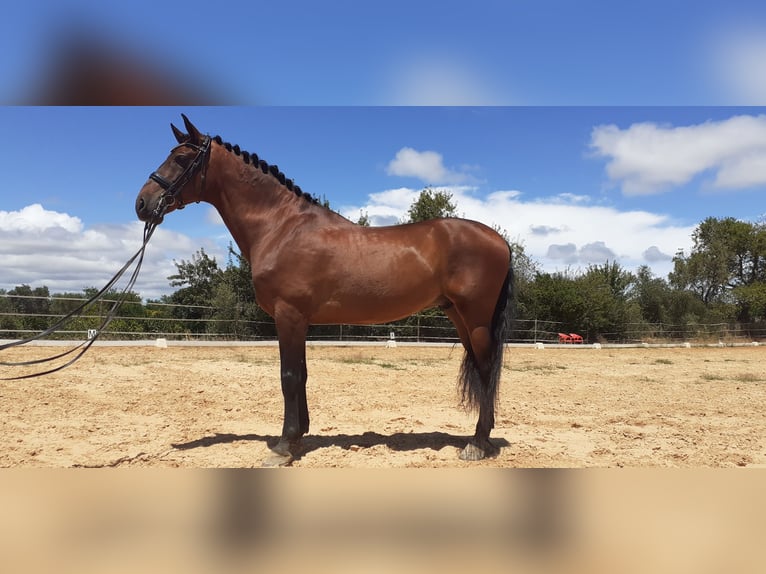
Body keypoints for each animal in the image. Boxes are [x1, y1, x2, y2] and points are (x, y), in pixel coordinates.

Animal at [138, 113, 516, 468]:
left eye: (181, 159)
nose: (142, 204)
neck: (281, 227)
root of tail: (498, 240)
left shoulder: (289, 315)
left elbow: (289, 377)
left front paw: (283, 446)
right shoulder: (300, 320)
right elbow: (302, 375)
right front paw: (299, 436)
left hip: (475, 317)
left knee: (486, 371)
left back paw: (476, 444)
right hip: (458, 315)